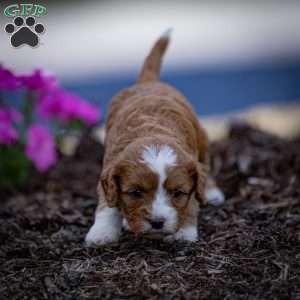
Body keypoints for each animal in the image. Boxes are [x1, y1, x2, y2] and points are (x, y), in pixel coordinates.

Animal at [85, 29, 224, 246]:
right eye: (136, 193)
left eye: (177, 193)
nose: (157, 222)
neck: (153, 133)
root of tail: (148, 81)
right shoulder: (108, 167)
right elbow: (107, 203)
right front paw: (102, 232)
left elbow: (191, 200)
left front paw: (185, 232)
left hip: (202, 139)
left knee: (206, 166)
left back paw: (211, 191)